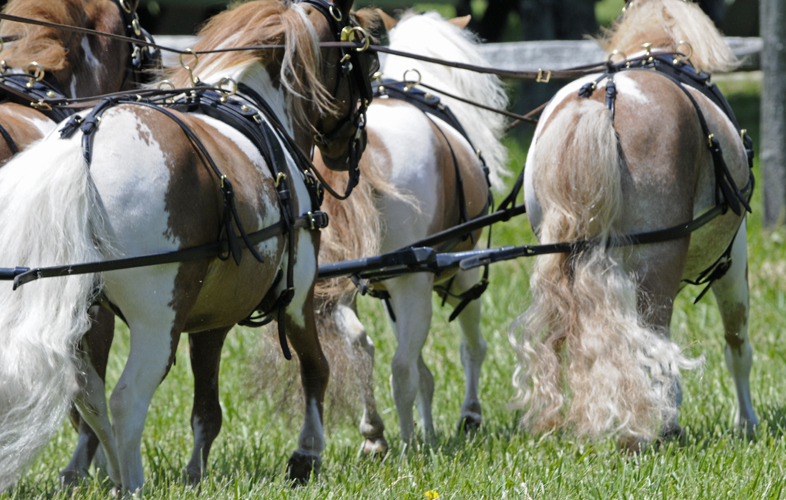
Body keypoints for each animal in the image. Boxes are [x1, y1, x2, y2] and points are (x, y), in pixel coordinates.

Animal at [0, 0, 366, 492]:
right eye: (363, 59)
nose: (350, 151)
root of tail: (87, 141)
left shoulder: (211, 316)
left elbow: (205, 410)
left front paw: (195, 474)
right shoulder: (300, 289)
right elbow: (315, 367)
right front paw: (306, 456)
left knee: (90, 396)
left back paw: (117, 476)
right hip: (157, 319)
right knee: (126, 398)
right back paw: (132, 484)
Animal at [512, 0, 752, 444]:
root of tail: (600, 98)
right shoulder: (733, 257)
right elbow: (737, 341)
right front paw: (747, 421)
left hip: (563, 258)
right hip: (658, 265)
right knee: (657, 347)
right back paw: (658, 426)